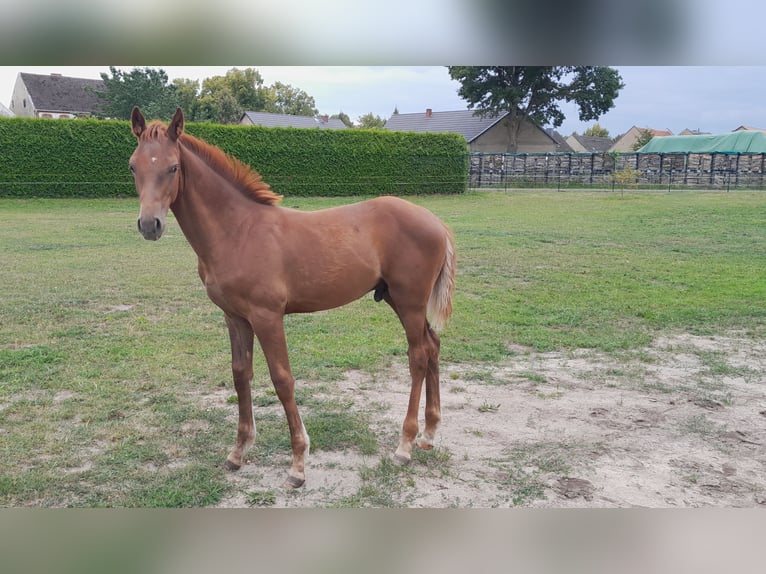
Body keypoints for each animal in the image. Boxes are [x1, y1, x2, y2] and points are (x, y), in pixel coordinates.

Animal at [129, 107, 456, 488]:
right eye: (133, 166)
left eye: (172, 167)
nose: (149, 225)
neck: (238, 231)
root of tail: (435, 221)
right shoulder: (234, 316)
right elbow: (241, 374)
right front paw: (238, 452)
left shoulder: (267, 316)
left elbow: (282, 380)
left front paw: (298, 464)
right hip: (396, 299)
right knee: (433, 346)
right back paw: (429, 434)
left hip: (410, 301)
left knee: (418, 356)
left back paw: (405, 445)